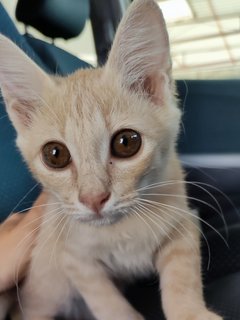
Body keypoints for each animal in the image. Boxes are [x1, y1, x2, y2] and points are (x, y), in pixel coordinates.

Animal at [0, 0, 222, 320]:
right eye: (55, 155)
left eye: (126, 142)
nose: (94, 199)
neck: (123, 229)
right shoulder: (73, 257)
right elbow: (107, 302)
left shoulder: (184, 220)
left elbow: (182, 276)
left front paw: (191, 311)